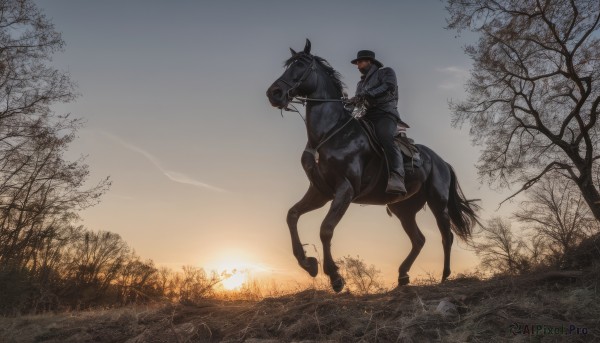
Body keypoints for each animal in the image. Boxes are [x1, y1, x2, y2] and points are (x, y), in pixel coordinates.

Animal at [266, 40, 478, 292]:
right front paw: (308, 263)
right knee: (419, 239)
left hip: (438, 203)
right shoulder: (320, 192)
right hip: (403, 209)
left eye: (300, 65)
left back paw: (445, 276)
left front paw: (335, 277)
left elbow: (326, 229)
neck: (330, 133)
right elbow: (292, 215)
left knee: (447, 236)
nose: (274, 93)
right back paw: (403, 276)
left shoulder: (345, 190)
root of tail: (442, 161)